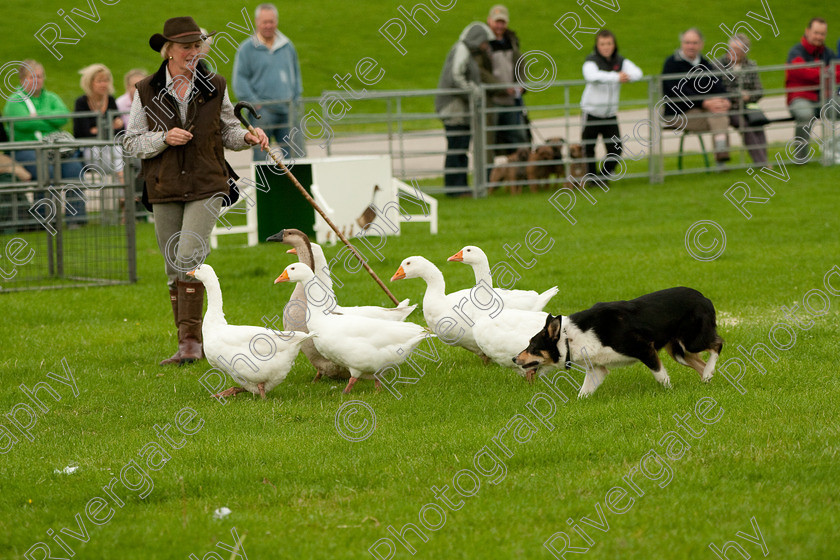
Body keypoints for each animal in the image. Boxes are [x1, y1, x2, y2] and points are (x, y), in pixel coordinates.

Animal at [516, 288, 724, 398]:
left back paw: (708, 373)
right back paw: (707, 379)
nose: (514, 359)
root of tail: (704, 297)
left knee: (718, 344)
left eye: (533, 347)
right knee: (702, 363)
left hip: (691, 341)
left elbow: (661, 376)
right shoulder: (597, 369)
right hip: (678, 351)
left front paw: (668, 392)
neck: (568, 338)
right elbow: (583, 392)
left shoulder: (644, 348)